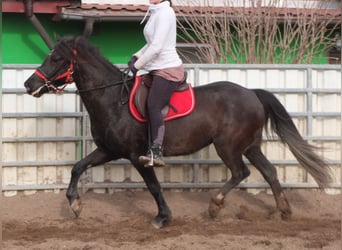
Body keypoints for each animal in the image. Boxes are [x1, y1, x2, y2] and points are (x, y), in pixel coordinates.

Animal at [23, 35, 332, 229]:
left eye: (56, 58)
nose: (28, 85)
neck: (113, 99)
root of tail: (252, 93)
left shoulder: (137, 156)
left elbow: (154, 187)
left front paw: (163, 217)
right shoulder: (108, 150)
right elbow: (77, 167)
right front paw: (75, 205)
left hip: (229, 146)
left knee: (240, 172)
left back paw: (215, 205)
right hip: (250, 145)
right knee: (269, 172)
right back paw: (284, 211)